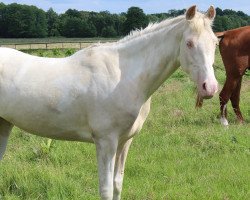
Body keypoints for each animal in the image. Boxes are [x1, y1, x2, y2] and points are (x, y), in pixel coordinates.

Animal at [0, 5, 218, 199]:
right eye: (189, 43)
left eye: (215, 43)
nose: (210, 87)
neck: (123, 75)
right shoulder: (106, 141)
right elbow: (105, 189)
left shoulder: (124, 141)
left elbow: (117, 184)